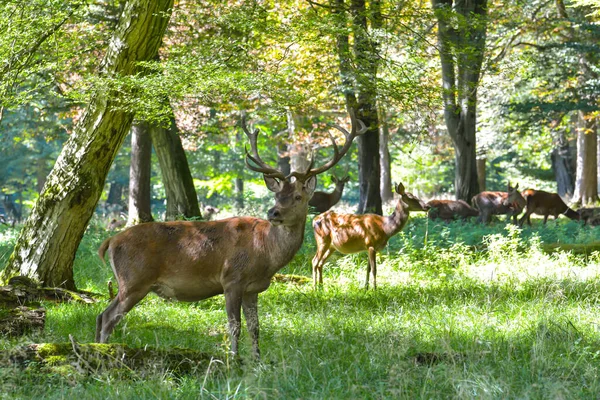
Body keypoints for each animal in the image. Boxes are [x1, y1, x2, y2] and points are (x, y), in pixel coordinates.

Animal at [95, 111, 366, 358]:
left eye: (298, 196)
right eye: (278, 195)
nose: (273, 212)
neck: (265, 254)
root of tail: (110, 241)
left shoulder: (253, 288)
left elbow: (255, 328)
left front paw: (257, 361)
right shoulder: (232, 279)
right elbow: (234, 326)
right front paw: (234, 360)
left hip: (130, 282)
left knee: (100, 316)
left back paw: (98, 348)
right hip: (134, 280)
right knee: (108, 316)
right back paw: (103, 351)